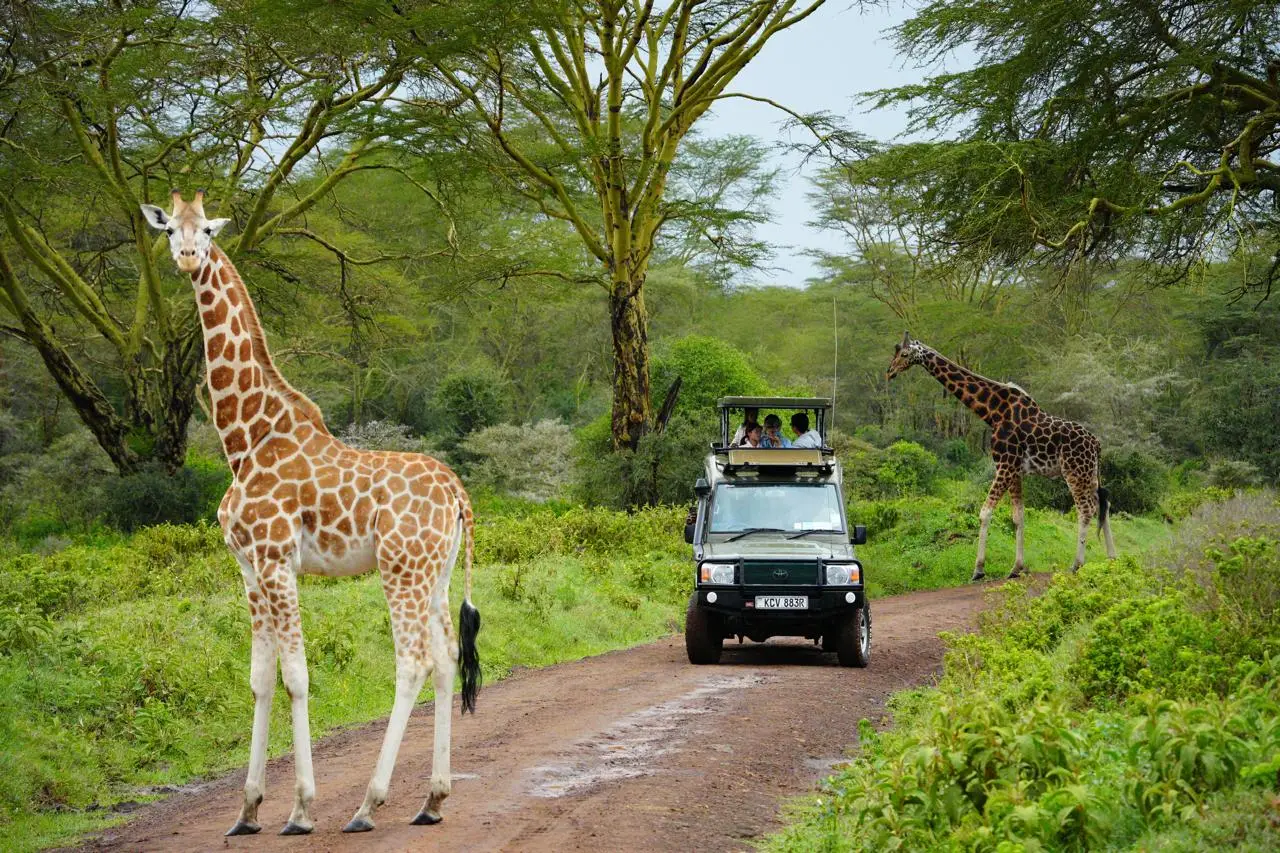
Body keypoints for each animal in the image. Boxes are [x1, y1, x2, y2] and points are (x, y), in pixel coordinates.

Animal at [141, 190, 482, 836]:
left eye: (208, 229)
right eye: (170, 229)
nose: (189, 258)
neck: (245, 439)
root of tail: (457, 493)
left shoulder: (276, 560)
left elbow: (296, 677)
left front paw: (300, 808)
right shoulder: (249, 569)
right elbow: (259, 679)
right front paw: (247, 810)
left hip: (400, 569)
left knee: (413, 663)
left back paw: (367, 805)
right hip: (437, 573)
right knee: (449, 658)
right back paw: (432, 799)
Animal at [886, 332, 1117, 581]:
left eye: (904, 354)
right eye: (896, 352)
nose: (889, 372)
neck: (993, 413)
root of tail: (1097, 444)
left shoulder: (1004, 464)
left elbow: (985, 512)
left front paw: (978, 569)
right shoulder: (1014, 470)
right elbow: (1018, 516)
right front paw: (1016, 568)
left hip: (1074, 471)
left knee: (1086, 509)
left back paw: (1076, 564)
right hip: (1089, 473)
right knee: (1103, 503)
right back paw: (1112, 559)